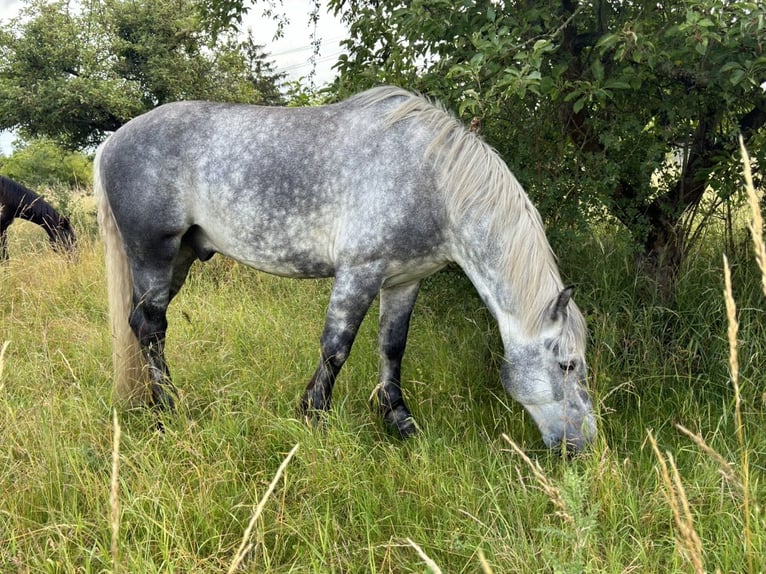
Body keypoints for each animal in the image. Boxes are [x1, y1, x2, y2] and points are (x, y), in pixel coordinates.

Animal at [94, 88, 600, 452]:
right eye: (567, 364)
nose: (584, 446)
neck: (433, 180)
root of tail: (110, 143)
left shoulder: (404, 280)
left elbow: (392, 347)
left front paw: (399, 421)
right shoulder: (360, 271)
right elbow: (336, 347)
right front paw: (313, 418)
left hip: (179, 256)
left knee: (142, 325)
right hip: (153, 253)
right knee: (151, 326)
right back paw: (168, 410)